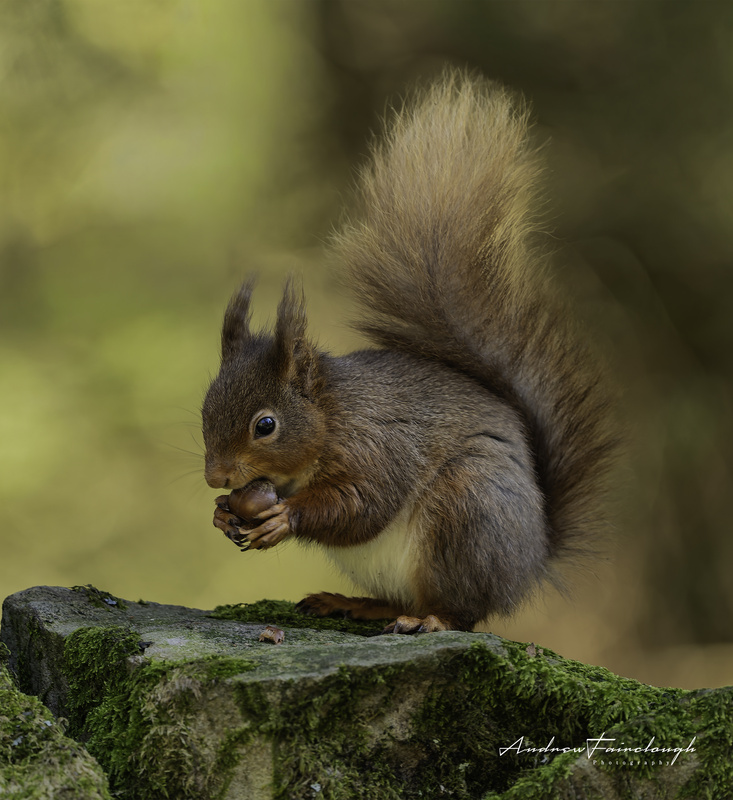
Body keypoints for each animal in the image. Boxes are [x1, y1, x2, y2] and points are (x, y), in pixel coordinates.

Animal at [201, 70, 617, 634]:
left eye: (265, 425)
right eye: (204, 409)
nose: (216, 476)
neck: (332, 416)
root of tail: (530, 563)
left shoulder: (379, 446)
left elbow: (363, 502)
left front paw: (284, 517)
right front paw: (223, 512)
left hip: (466, 512)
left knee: (461, 610)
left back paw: (432, 620)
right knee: (401, 600)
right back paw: (355, 602)